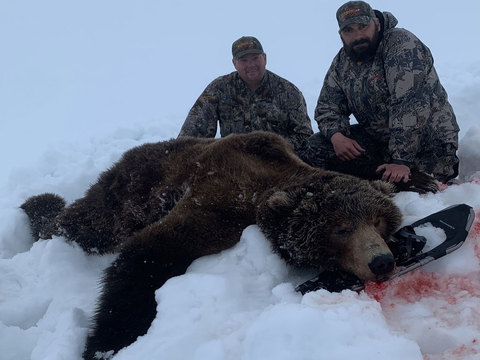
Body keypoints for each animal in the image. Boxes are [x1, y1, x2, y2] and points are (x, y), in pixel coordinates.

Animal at [22, 132, 404, 360]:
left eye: (378, 221)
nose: (381, 261)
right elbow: (146, 256)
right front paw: (106, 344)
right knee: (85, 222)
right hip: (126, 194)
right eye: (342, 229)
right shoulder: (220, 202)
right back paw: (40, 207)